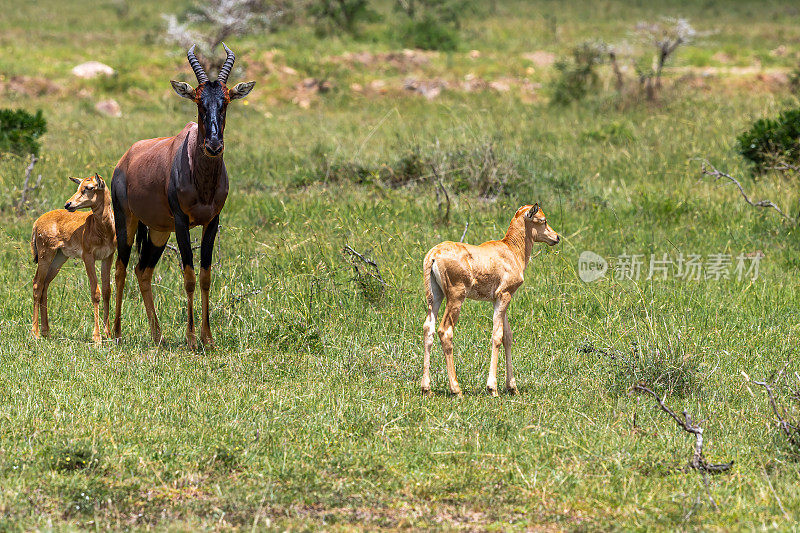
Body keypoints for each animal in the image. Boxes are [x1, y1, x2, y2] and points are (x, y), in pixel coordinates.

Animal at [30, 172, 115, 342]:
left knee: (45, 285)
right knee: (37, 284)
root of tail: (37, 222)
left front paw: (108, 334)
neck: (101, 228)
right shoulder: (88, 257)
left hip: (59, 259)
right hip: (45, 256)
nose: (68, 204)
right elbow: (95, 292)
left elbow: (106, 291)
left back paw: (46, 331)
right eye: (78, 186)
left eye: (89, 187)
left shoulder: (107, 257)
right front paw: (97, 337)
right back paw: (35, 333)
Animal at [111, 43, 255, 348]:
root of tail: (126, 158)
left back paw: (157, 335)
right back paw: (113, 332)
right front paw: (190, 338)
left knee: (142, 270)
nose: (214, 145)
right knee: (120, 268)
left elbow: (205, 276)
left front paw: (207, 338)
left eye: (226, 101)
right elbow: (188, 275)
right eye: (199, 101)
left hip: (158, 231)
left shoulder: (212, 222)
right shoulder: (181, 222)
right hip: (126, 220)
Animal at [422, 204, 560, 394]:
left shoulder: (501, 298)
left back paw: (425, 388)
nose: (556, 237)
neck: (510, 250)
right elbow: (497, 335)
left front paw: (512, 387)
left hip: (435, 296)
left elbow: (507, 336)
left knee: (428, 328)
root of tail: (434, 254)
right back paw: (456, 389)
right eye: (543, 220)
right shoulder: (504, 296)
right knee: (445, 331)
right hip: (456, 298)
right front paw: (492, 387)